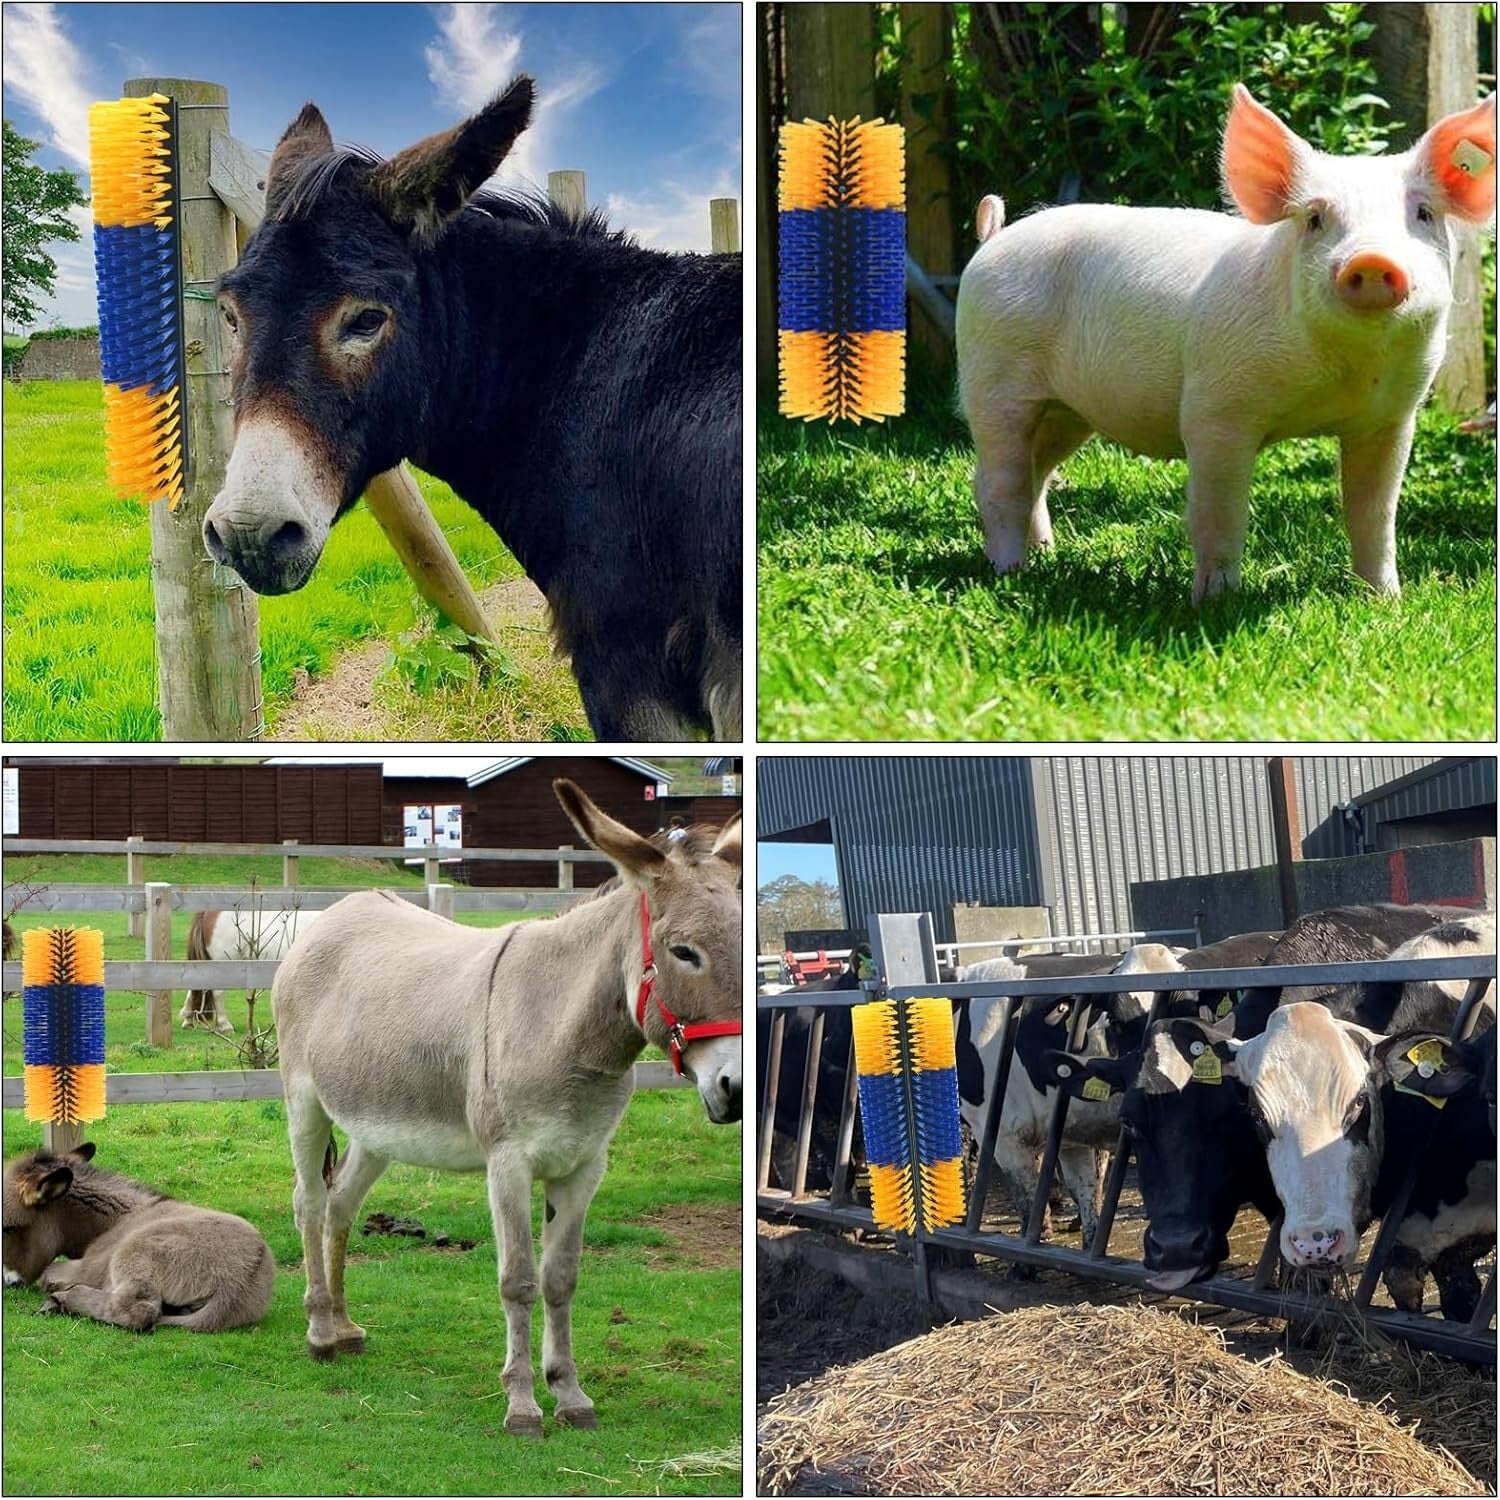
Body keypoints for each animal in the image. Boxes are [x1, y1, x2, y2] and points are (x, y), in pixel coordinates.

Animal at [955, 85, 1496, 604]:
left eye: (1423, 213)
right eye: (1315, 218)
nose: (1371, 259)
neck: (1339, 375)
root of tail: (993, 240)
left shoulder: (1390, 418)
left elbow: (1374, 514)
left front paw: (1385, 602)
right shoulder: (1215, 409)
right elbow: (1220, 514)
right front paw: (1217, 602)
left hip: (1068, 411)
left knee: (1034, 473)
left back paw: (1043, 556)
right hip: (994, 378)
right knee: (999, 480)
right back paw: (1010, 572)